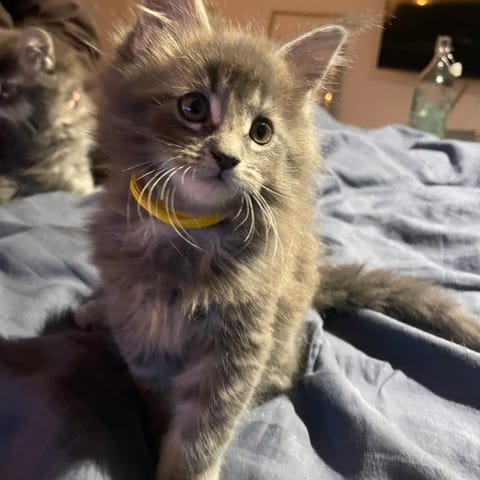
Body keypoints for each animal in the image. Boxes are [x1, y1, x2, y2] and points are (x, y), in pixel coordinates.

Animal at [76, 1, 480, 479]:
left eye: (261, 132)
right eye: (193, 107)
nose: (227, 158)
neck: (188, 233)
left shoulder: (241, 341)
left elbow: (202, 432)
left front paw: (182, 469)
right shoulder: (139, 325)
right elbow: (155, 395)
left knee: (285, 373)